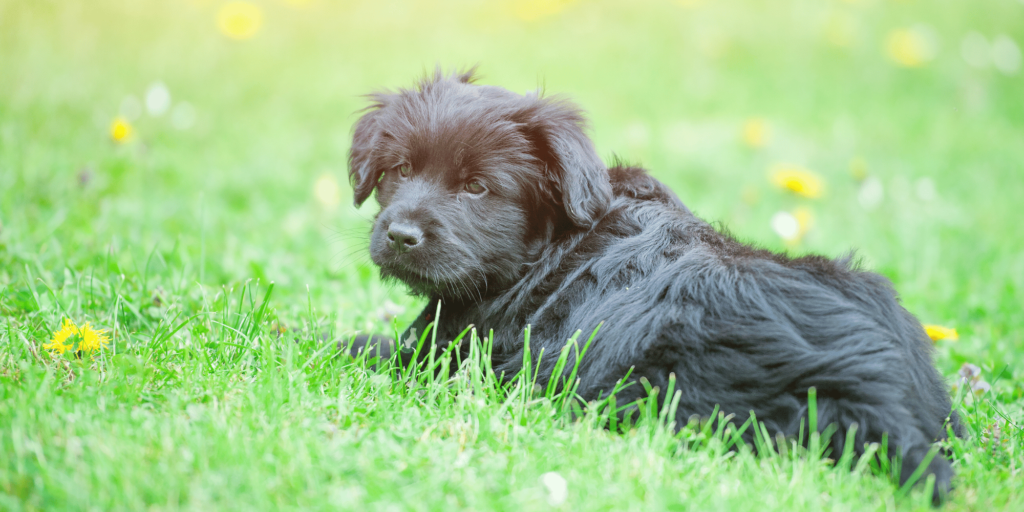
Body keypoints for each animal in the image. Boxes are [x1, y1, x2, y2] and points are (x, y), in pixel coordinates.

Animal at [348, 70, 962, 501]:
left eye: (477, 187)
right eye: (400, 170)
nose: (399, 235)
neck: (553, 241)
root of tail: (872, 386)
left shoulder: (444, 353)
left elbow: (362, 345)